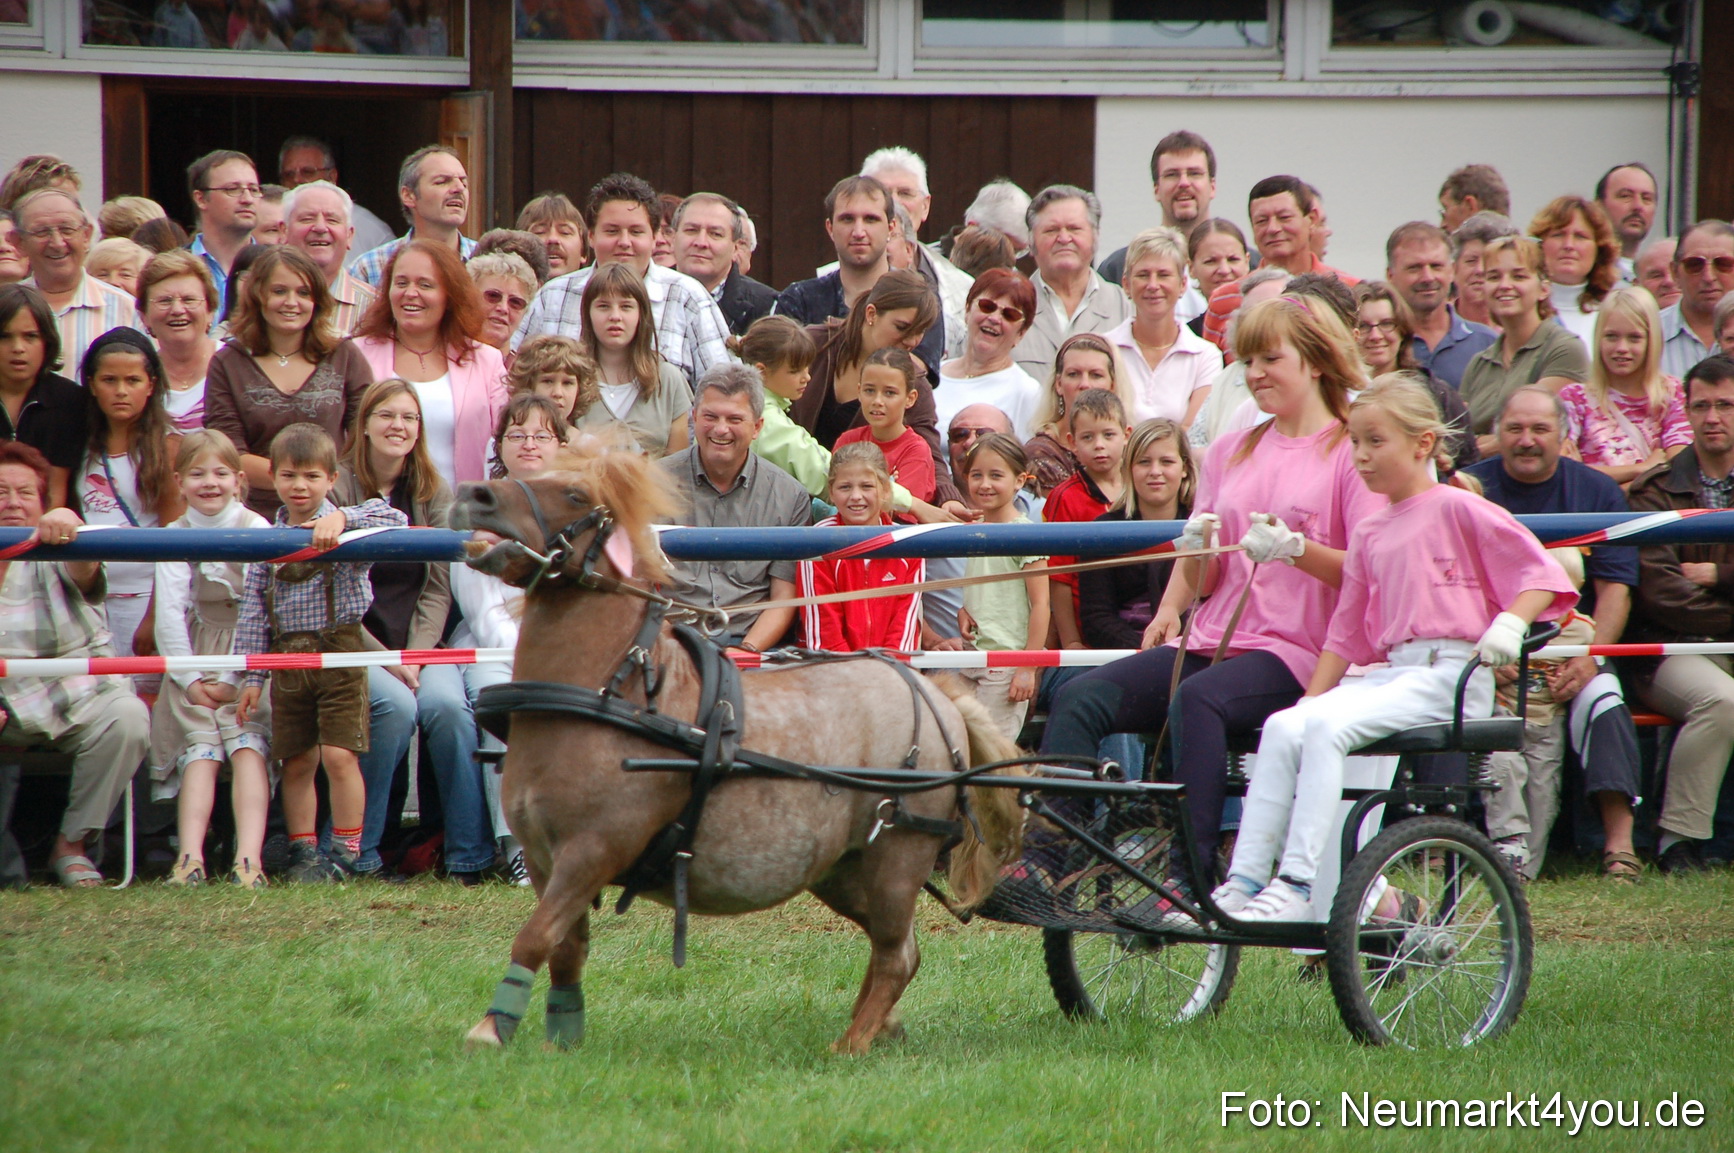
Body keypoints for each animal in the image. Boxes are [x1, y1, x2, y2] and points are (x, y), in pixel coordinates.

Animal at [450, 451, 1027, 1054]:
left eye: (577, 494)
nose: (473, 494)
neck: (612, 694)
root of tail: (937, 696)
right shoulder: (544, 858)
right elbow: (563, 947)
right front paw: (559, 1038)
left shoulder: (593, 850)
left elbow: (535, 936)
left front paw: (490, 1029)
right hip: (843, 871)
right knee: (898, 950)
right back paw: (878, 1025)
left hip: (898, 858)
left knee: (896, 955)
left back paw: (851, 1044)